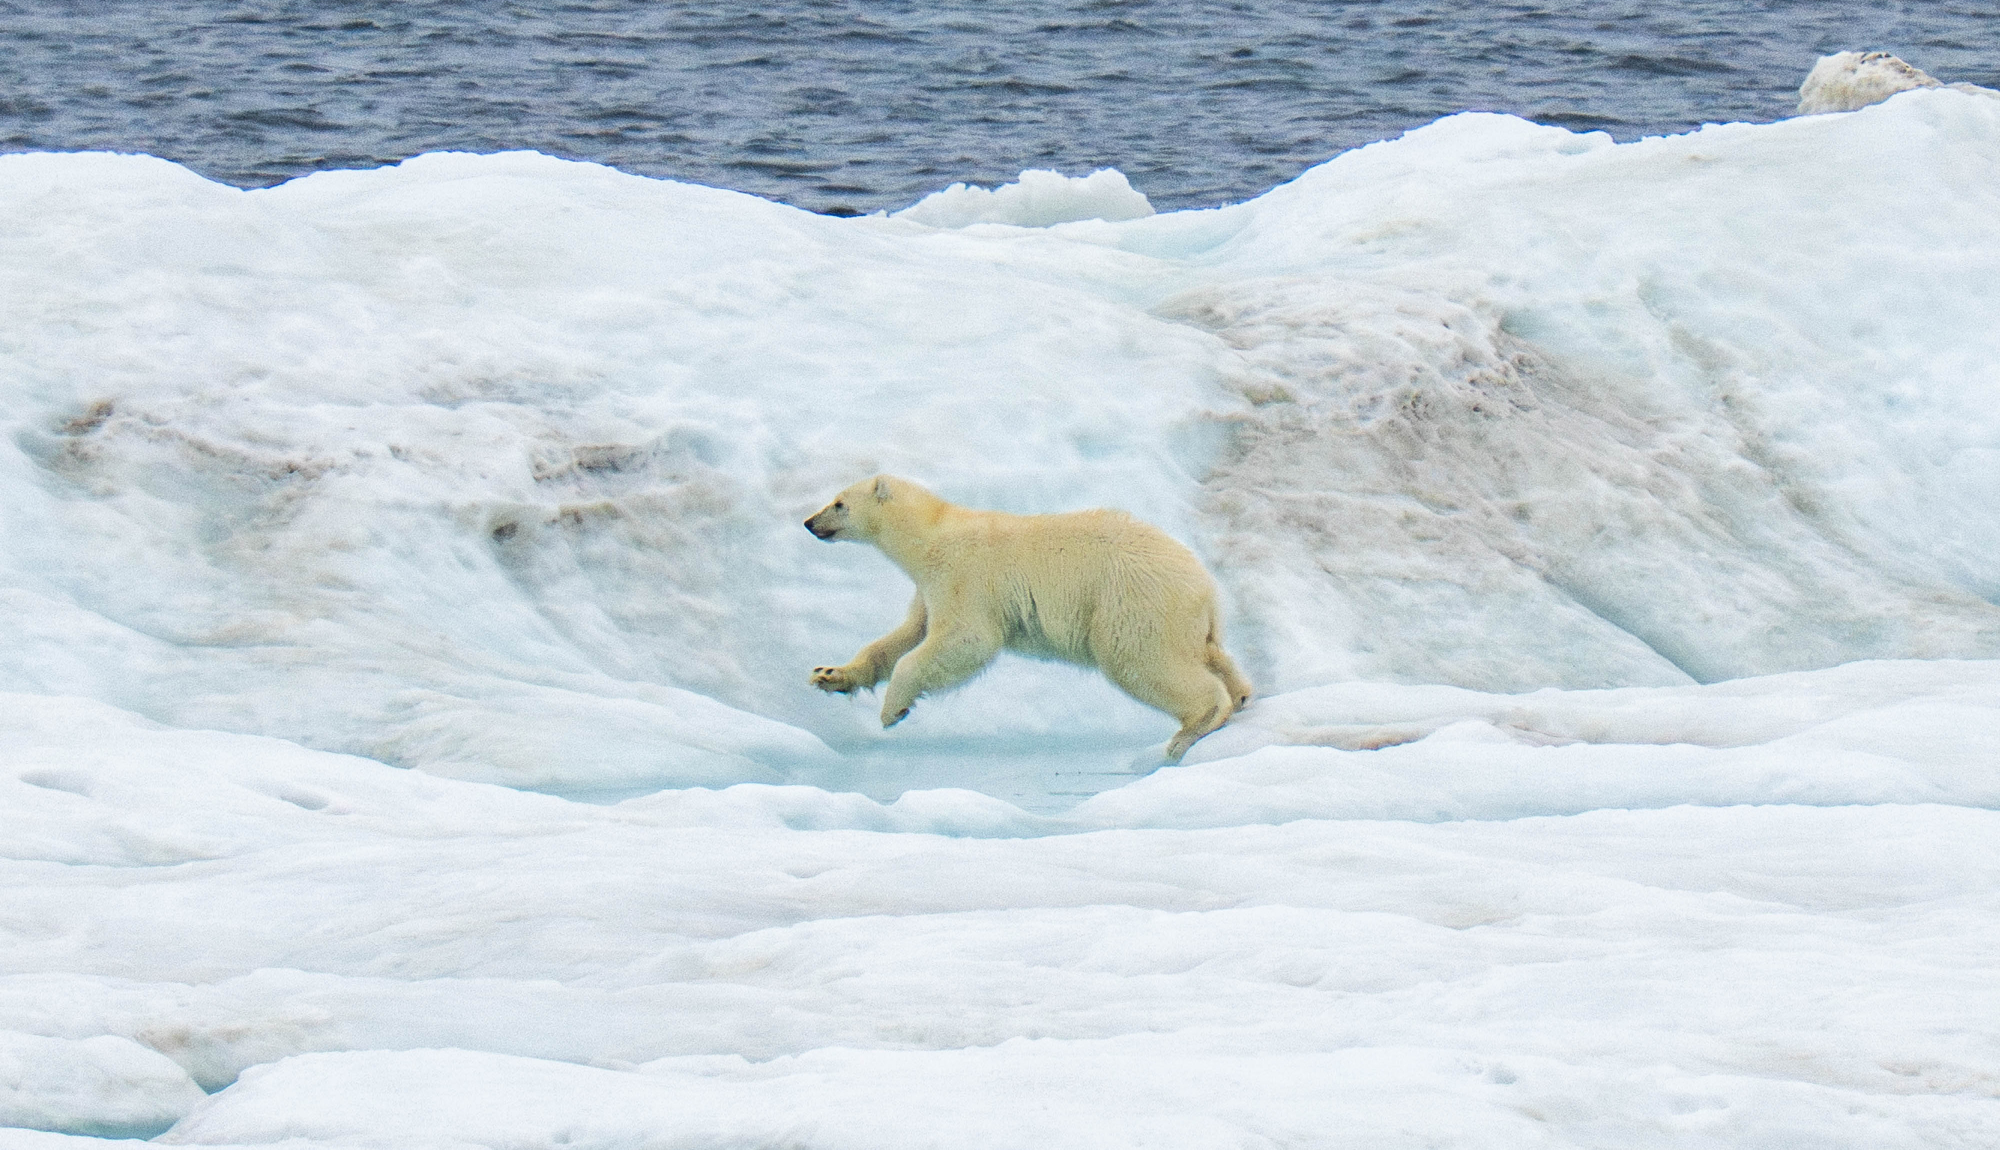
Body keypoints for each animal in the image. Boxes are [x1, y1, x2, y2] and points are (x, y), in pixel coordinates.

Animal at [804, 475, 1252, 762]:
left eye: (839, 502)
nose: (810, 522)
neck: (930, 534)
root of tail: (1206, 586)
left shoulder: (964, 576)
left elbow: (965, 639)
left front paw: (892, 711)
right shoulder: (929, 590)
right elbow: (905, 635)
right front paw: (829, 675)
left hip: (1133, 603)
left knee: (1139, 661)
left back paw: (1191, 730)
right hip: (1183, 619)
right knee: (1210, 654)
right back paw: (1242, 695)